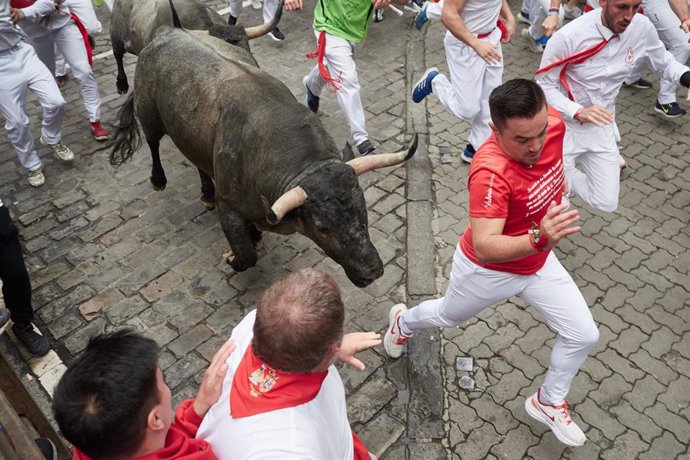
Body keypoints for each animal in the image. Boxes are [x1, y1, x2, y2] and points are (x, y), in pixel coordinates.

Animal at [107, 9, 414, 288]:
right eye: (322, 228)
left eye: (364, 210)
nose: (372, 271)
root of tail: (168, 31)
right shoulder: (228, 206)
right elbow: (245, 255)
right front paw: (233, 256)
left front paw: (254, 236)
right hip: (149, 114)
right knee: (153, 142)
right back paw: (158, 179)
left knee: (197, 160)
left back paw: (206, 192)